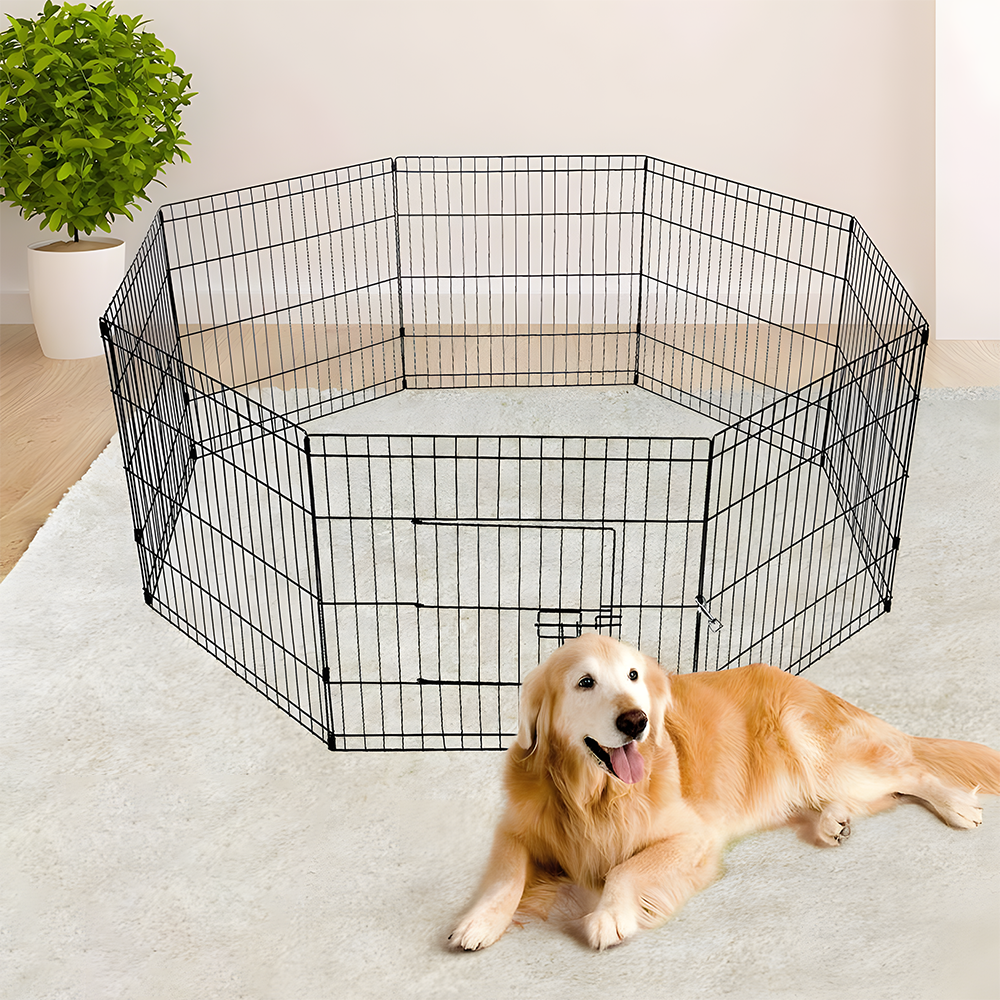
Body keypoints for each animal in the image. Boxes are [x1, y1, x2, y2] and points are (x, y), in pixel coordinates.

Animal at [448, 632, 1000, 952]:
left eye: (632, 675)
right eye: (585, 682)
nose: (636, 720)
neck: (594, 796)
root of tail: (812, 685)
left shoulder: (694, 838)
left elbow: (626, 870)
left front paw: (609, 916)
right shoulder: (515, 828)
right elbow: (505, 878)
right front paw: (478, 922)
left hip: (822, 750)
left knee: (913, 771)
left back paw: (956, 805)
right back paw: (833, 821)